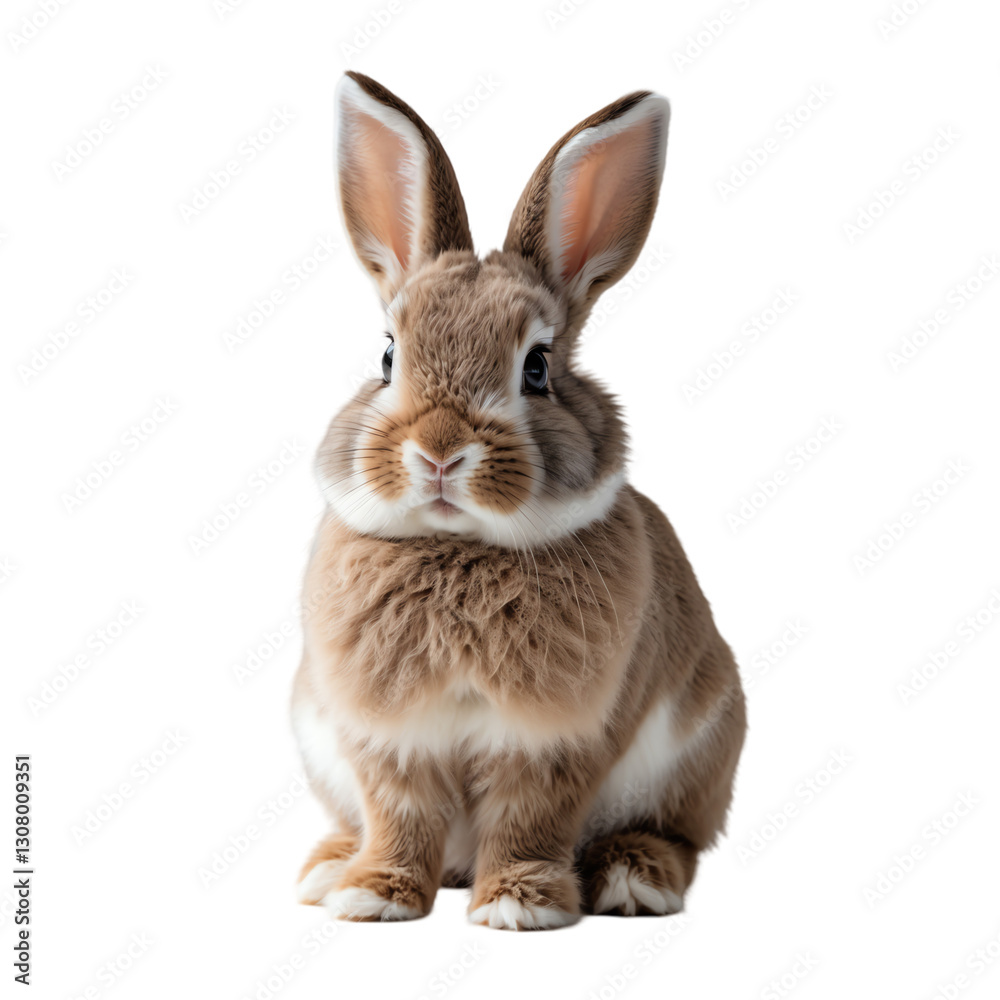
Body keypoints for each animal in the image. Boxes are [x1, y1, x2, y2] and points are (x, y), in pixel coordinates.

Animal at [292, 71, 746, 930]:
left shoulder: (560, 740)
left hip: (701, 749)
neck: (462, 548)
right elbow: (399, 812)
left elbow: (529, 817)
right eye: (388, 355)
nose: (439, 452)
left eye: (536, 367)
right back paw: (328, 867)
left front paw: (519, 906)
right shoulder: (386, 737)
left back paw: (634, 877)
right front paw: (373, 897)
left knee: (677, 835)